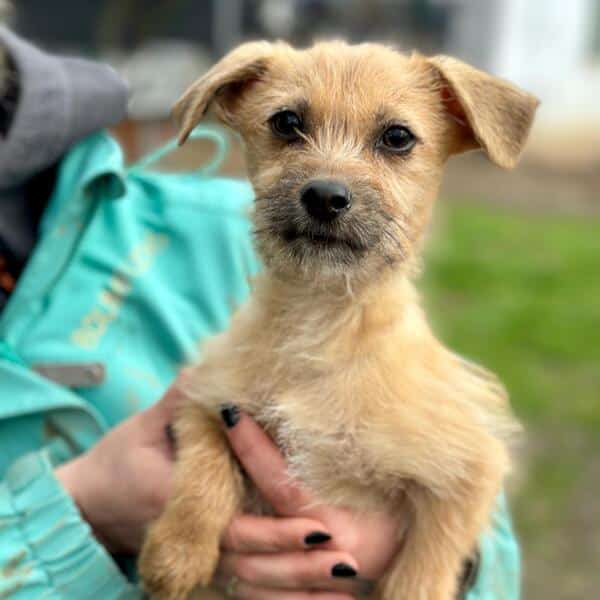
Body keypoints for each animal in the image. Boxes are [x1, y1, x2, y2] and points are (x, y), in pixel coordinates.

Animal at [138, 40, 538, 599]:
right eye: (287, 122)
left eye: (397, 137)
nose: (325, 196)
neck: (322, 321)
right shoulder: (208, 399)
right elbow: (203, 471)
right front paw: (177, 552)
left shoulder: (473, 462)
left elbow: (428, 556)